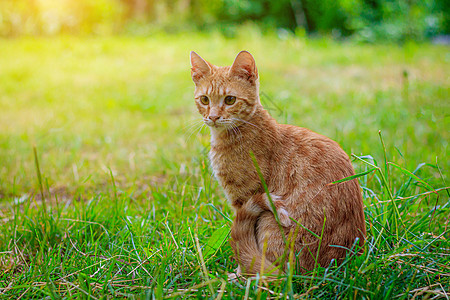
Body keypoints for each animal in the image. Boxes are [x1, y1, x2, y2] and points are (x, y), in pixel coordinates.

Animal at [189, 49, 366, 276]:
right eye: (204, 99)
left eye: (229, 100)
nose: (212, 117)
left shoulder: (243, 198)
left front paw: (238, 274)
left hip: (268, 222)